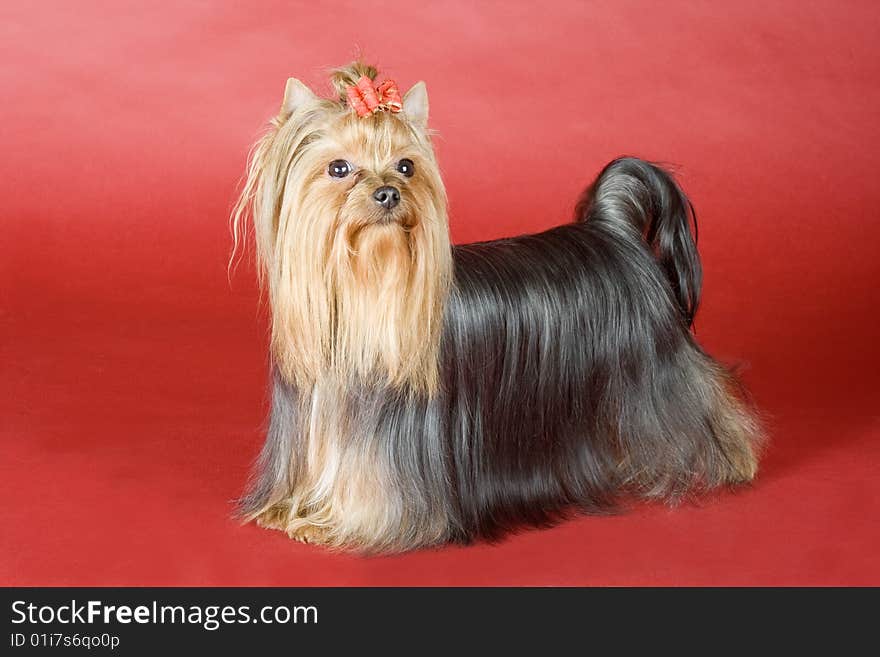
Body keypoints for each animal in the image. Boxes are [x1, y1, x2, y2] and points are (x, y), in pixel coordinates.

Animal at [232, 62, 764, 552]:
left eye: (406, 166)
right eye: (338, 168)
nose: (388, 192)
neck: (363, 296)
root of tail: (612, 229)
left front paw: (332, 524)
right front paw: (295, 511)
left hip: (653, 367)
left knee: (695, 403)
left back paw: (734, 460)